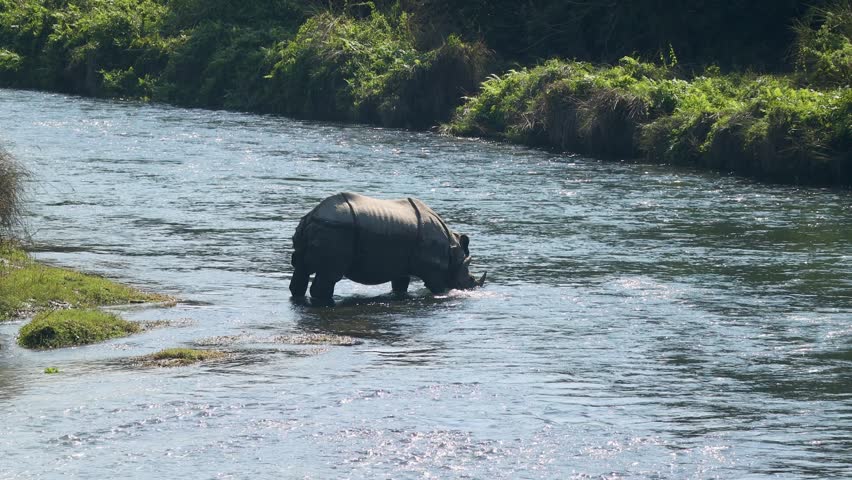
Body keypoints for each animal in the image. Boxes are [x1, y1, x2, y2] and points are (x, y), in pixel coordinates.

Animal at [289, 192, 485, 304]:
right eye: (470, 278)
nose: (469, 288)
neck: (453, 250)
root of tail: (312, 215)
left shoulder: (402, 265)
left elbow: (400, 285)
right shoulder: (434, 270)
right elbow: (439, 288)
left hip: (316, 226)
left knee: (301, 268)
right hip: (336, 230)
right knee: (329, 275)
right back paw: (325, 302)